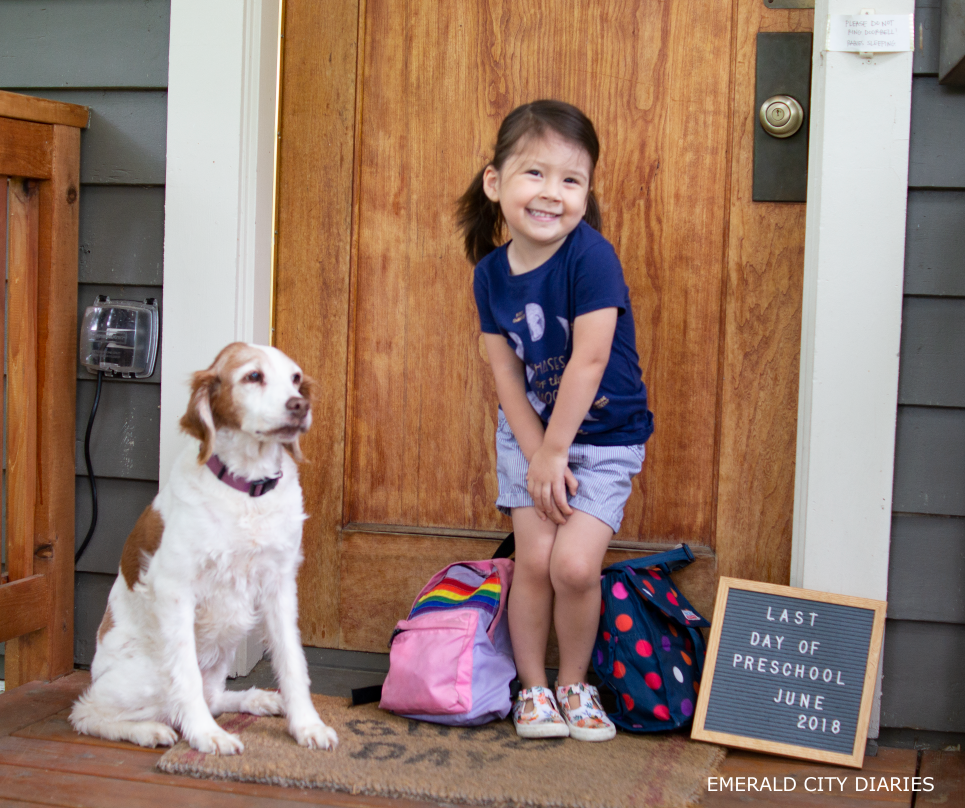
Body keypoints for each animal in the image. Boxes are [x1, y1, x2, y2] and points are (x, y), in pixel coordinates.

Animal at [71, 344, 338, 756]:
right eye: (253, 376)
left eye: (296, 378)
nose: (299, 405)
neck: (247, 489)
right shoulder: (175, 590)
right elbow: (186, 677)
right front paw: (205, 735)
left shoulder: (279, 586)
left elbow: (293, 663)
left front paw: (307, 726)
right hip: (147, 675)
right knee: (86, 711)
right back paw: (148, 730)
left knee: (213, 695)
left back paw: (259, 699)